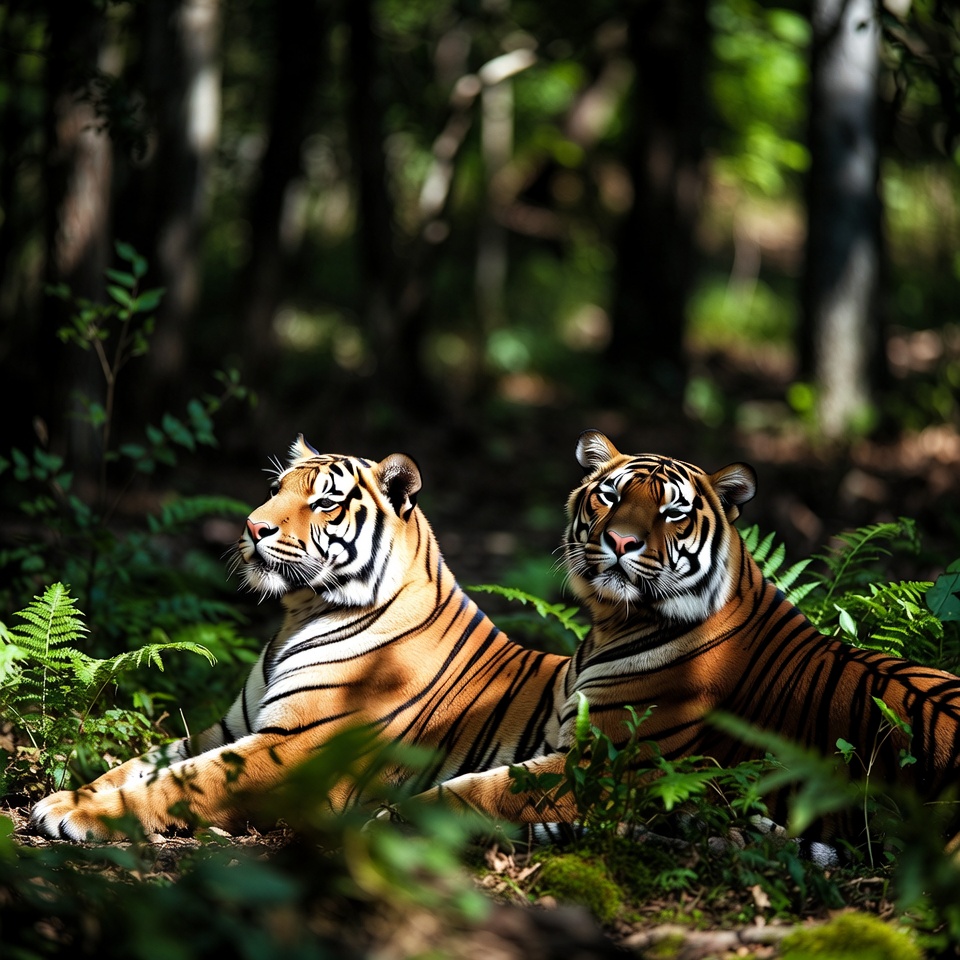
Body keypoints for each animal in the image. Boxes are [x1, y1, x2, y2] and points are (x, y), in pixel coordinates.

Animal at [31, 435, 571, 842]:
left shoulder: (295, 748)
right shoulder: (227, 729)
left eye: (326, 502)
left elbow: (180, 783)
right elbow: (136, 766)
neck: (300, 613)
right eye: (275, 487)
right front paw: (68, 797)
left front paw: (79, 814)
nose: (253, 526)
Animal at [417, 429, 960, 854]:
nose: (621, 542)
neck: (612, 621)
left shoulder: (608, 764)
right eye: (610, 497)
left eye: (672, 511)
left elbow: (478, 792)